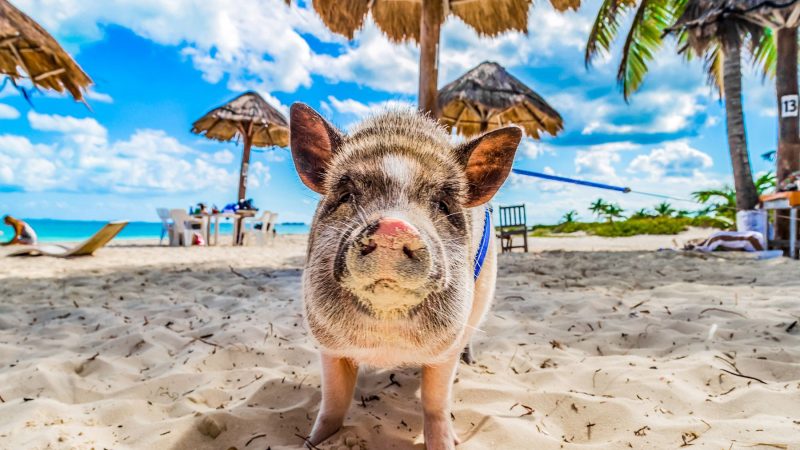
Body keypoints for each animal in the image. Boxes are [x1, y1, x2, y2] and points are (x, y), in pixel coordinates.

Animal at [289, 103, 521, 450]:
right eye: (345, 195)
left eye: (442, 204)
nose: (392, 226)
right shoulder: (327, 342)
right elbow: (334, 399)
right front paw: (312, 440)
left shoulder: (446, 345)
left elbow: (436, 400)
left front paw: (446, 443)